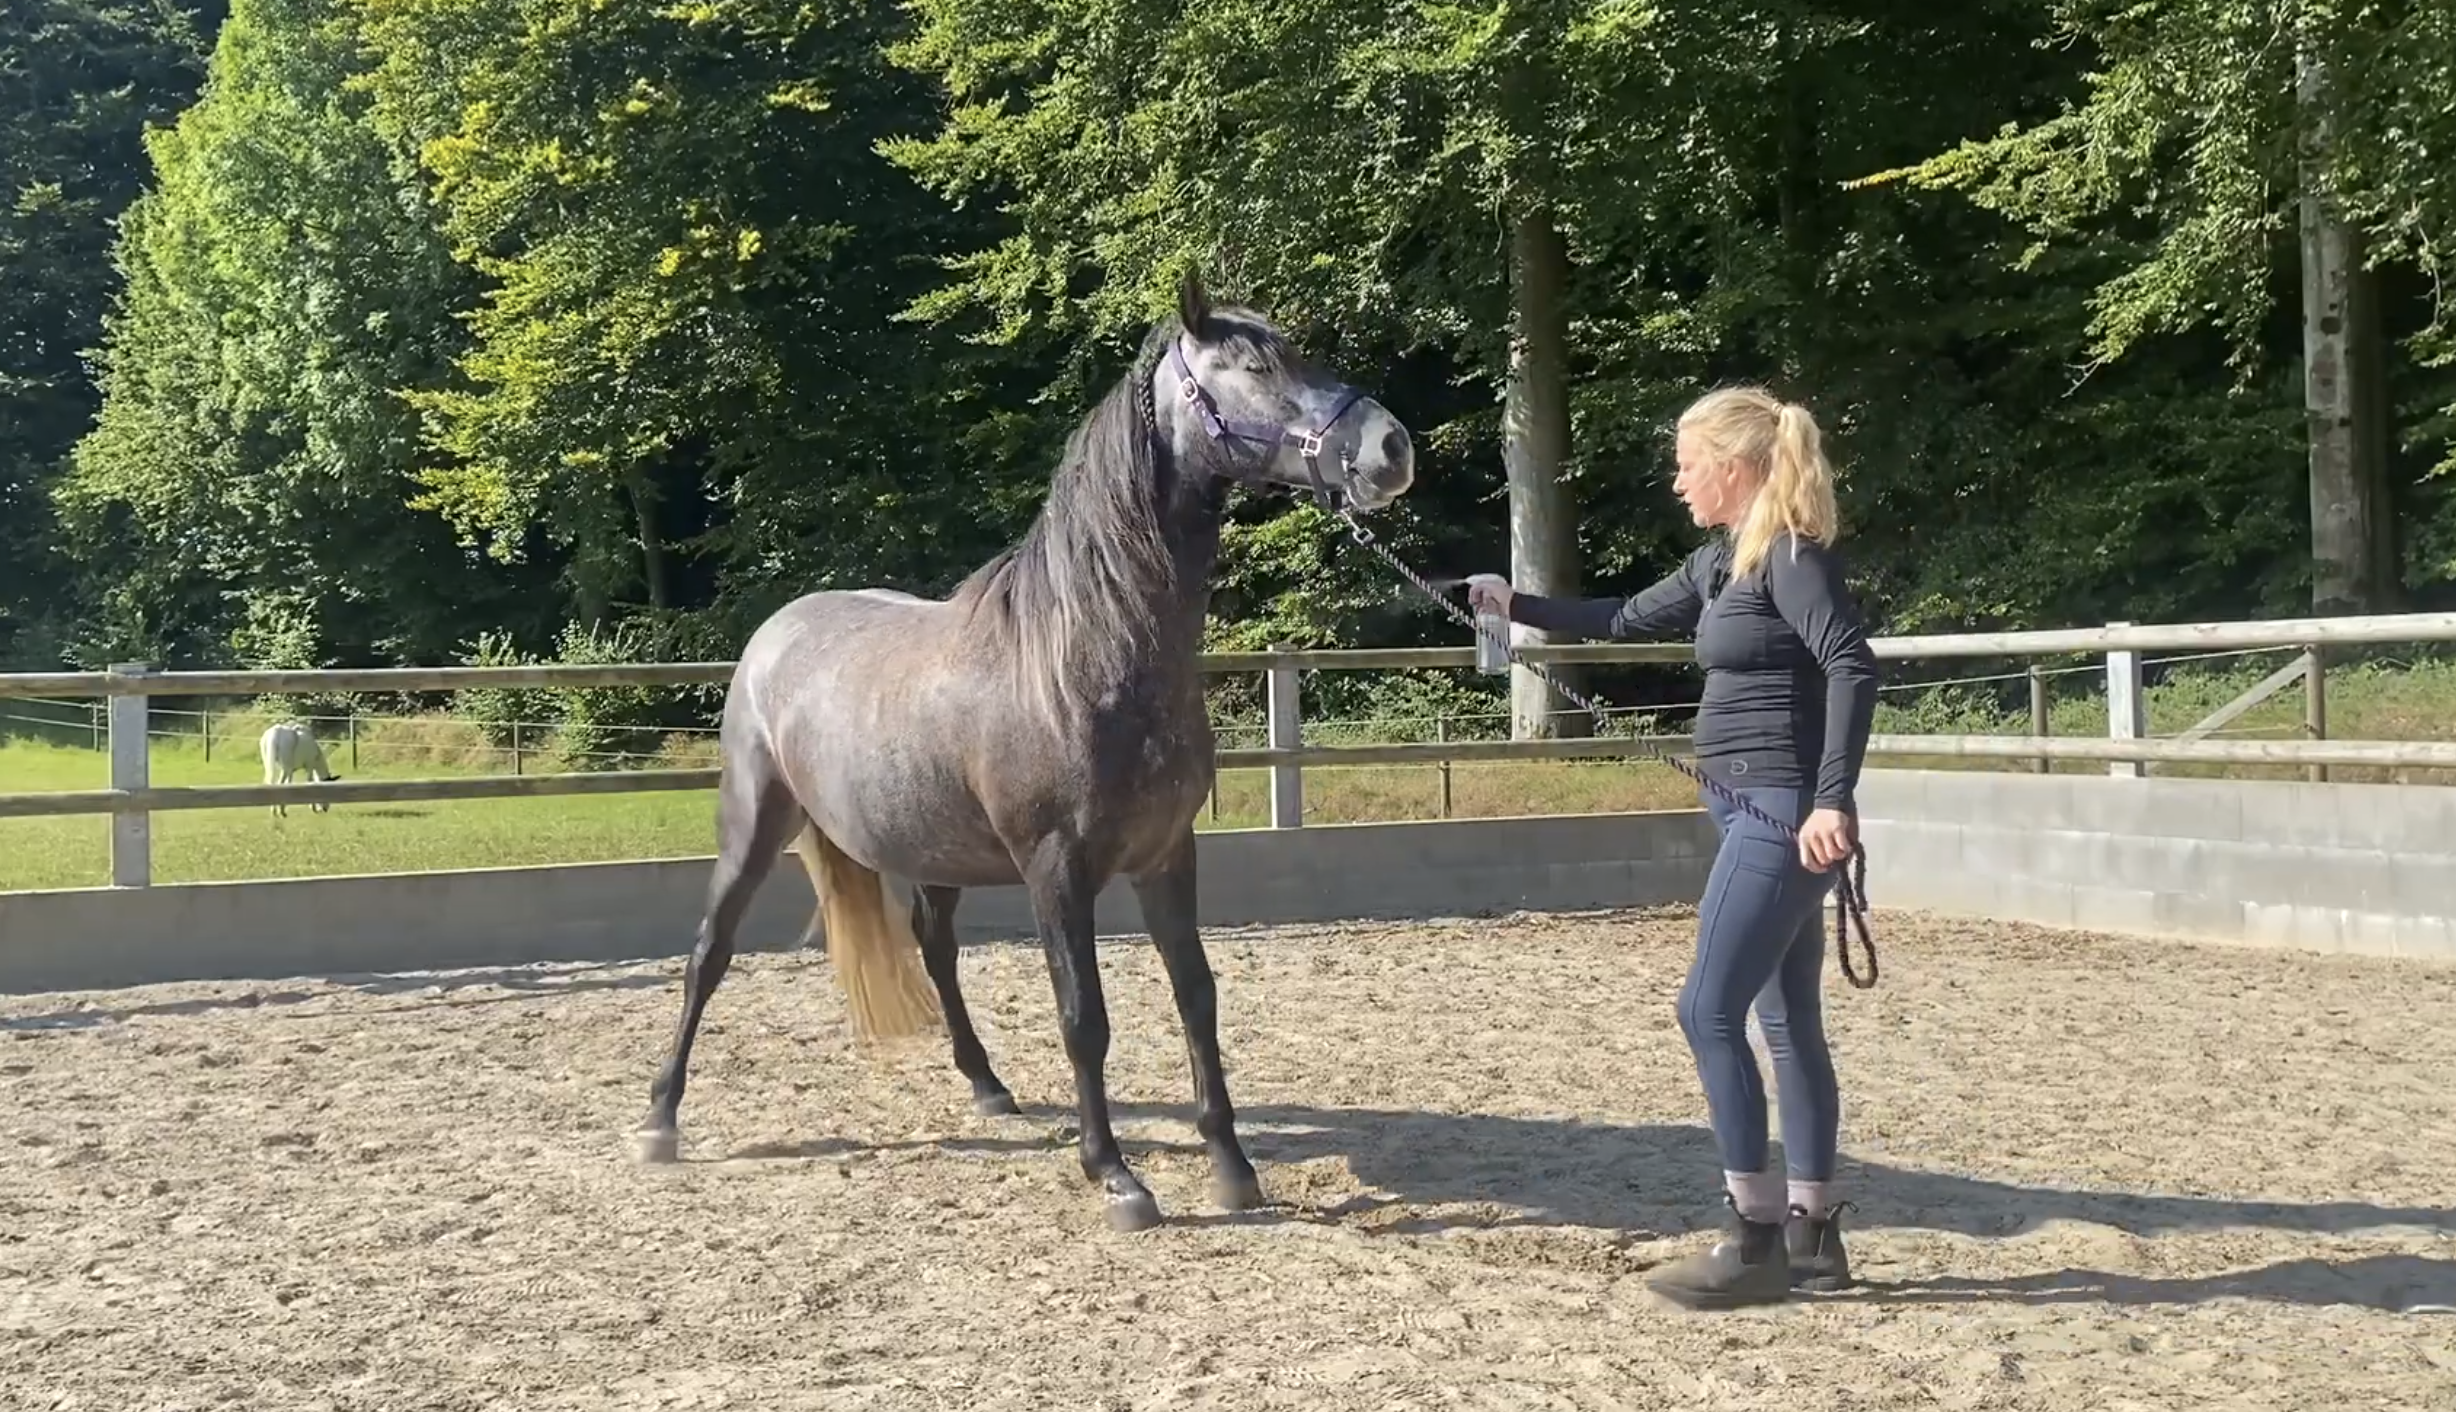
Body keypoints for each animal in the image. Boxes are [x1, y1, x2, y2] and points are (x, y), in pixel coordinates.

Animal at [634, 270, 1418, 1231]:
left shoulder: (1168, 855)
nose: (1390, 446)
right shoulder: (1057, 869)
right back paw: (661, 1120)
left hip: (928, 848)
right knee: (709, 953)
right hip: (753, 822)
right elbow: (1085, 1017)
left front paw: (1232, 1165)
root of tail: (777, 631)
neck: (1085, 650)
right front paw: (1116, 1176)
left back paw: (987, 1086)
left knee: (933, 948)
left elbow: (1197, 998)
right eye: (1254, 366)